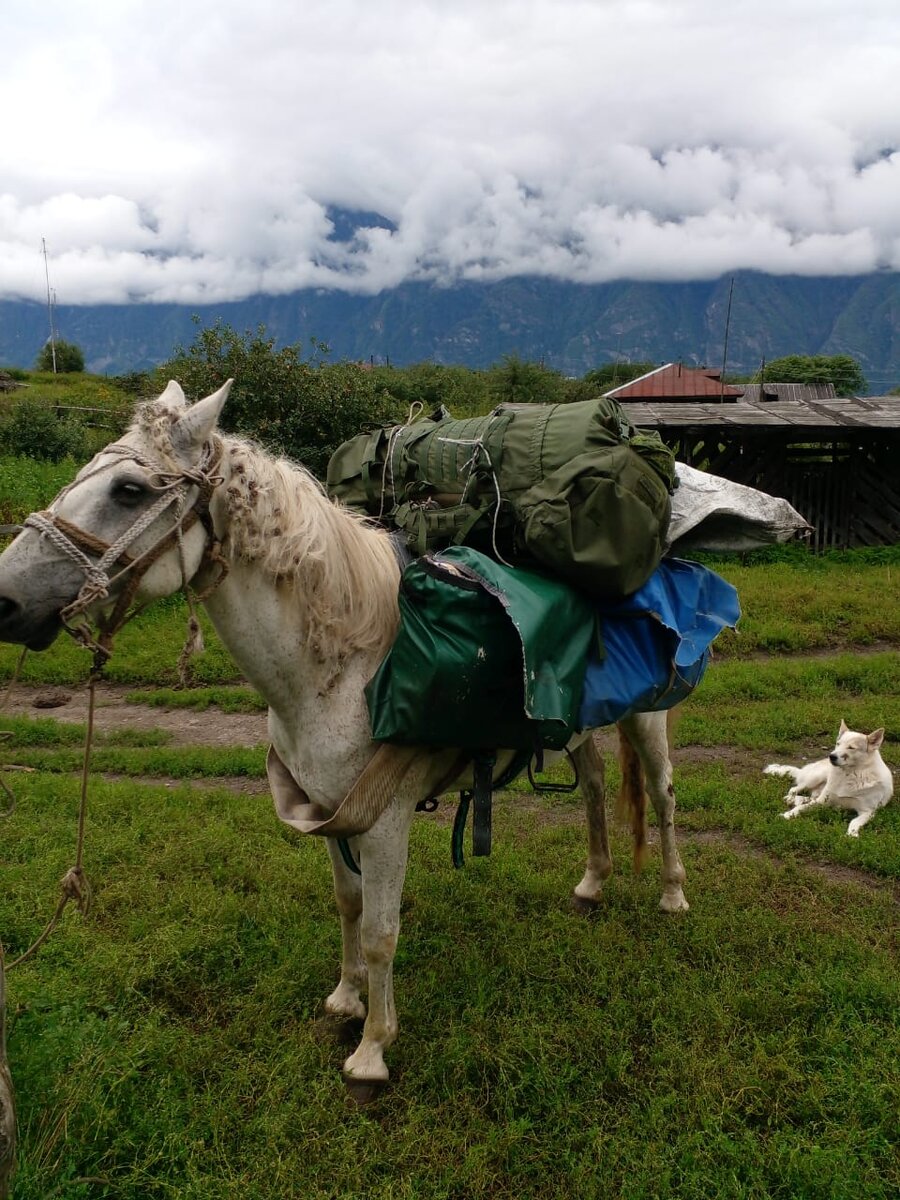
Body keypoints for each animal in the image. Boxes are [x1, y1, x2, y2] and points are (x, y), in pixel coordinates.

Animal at [0, 381, 691, 1099]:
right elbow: (348, 906)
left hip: (649, 719)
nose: (6, 600)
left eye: (130, 490)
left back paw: (672, 893)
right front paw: (346, 999)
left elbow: (383, 930)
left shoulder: (385, 821)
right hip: (581, 729)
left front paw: (371, 1052)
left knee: (663, 795)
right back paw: (592, 882)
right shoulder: (329, 810)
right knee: (593, 788)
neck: (345, 666)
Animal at [768, 720, 897, 835]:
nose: (831, 756)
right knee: (795, 789)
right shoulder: (822, 801)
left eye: (851, 747)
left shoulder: (867, 812)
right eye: (838, 743)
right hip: (814, 778)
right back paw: (791, 798)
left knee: (809, 797)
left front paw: (852, 833)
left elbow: (854, 822)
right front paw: (787, 815)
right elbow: (800, 808)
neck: (849, 775)